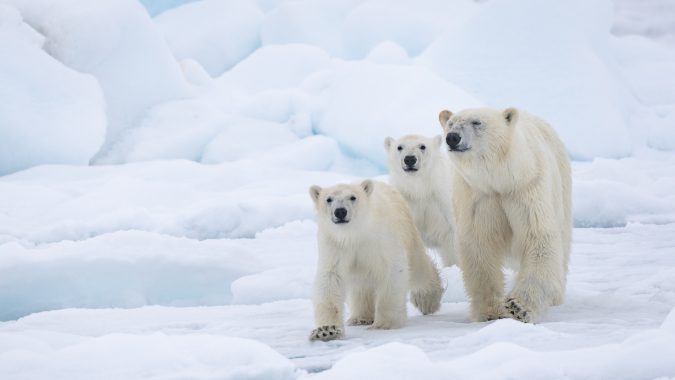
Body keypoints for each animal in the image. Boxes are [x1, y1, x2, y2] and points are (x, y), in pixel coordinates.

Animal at [308, 180, 444, 340]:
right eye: (328, 199)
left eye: (353, 197)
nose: (340, 211)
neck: (355, 234)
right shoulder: (335, 244)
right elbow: (330, 278)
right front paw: (326, 330)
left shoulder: (382, 239)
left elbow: (392, 270)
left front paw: (384, 324)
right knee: (362, 285)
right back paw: (360, 318)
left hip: (409, 231)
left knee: (418, 268)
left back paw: (427, 301)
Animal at [386, 134, 460, 268]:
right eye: (399, 147)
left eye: (423, 146)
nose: (410, 159)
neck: (420, 190)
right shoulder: (406, 201)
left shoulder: (443, 203)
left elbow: (453, 239)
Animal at [438, 107, 572, 324]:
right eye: (450, 124)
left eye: (476, 122)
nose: (452, 137)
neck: (501, 179)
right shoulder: (476, 197)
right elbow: (479, 246)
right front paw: (491, 311)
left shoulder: (527, 189)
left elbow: (538, 237)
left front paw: (518, 307)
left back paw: (556, 296)